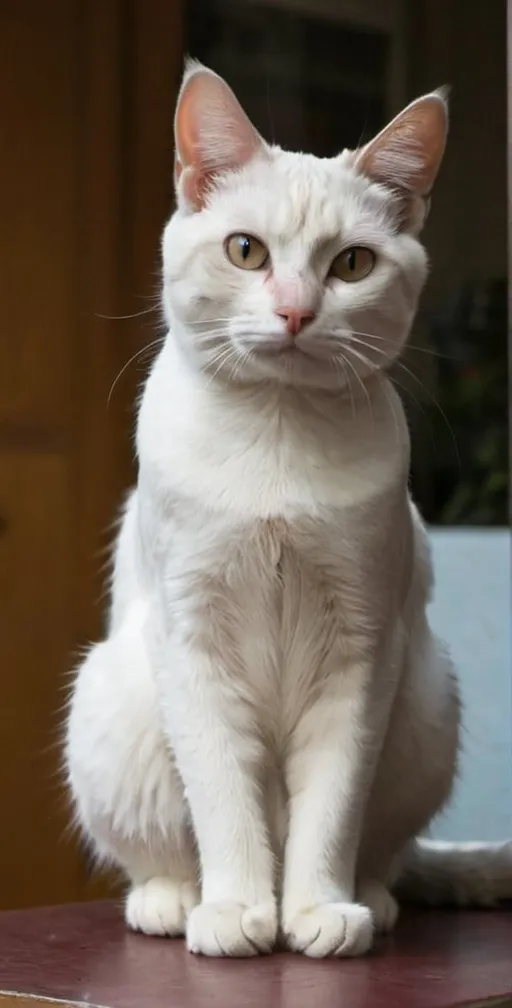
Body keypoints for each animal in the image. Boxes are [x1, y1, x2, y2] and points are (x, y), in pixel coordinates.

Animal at [65, 58, 512, 955]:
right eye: (247, 251)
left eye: (352, 265)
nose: (297, 311)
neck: (274, 437)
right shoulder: (193, 644)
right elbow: (224, 801)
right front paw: (239, 912)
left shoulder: (361, 656)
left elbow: (330, 809)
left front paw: (313, 912)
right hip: (111, 698)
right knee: (159, 855)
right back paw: (173, 903)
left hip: (425, 701)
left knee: (385, 854)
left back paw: (367, 902)